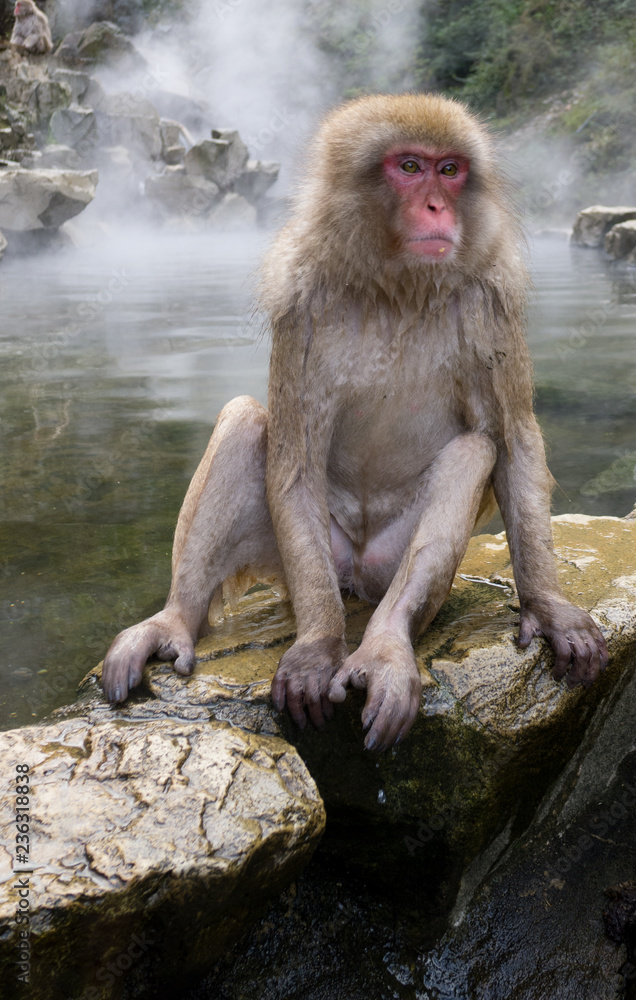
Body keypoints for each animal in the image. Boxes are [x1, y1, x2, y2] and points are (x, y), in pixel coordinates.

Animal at [101, 93, 608, 751]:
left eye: (450, 171)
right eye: (410, 167)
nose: (438, 205)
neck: (396, 286)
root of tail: (359, 580)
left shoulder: (489, 299)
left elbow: (513, 440)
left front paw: (548, 606)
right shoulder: (301, 303)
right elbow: (294, 462)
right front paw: (317, 650)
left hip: (388, 565)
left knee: (473, 452)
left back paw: (387, 645)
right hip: (304, 560)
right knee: (247, 422)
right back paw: (176, 620)